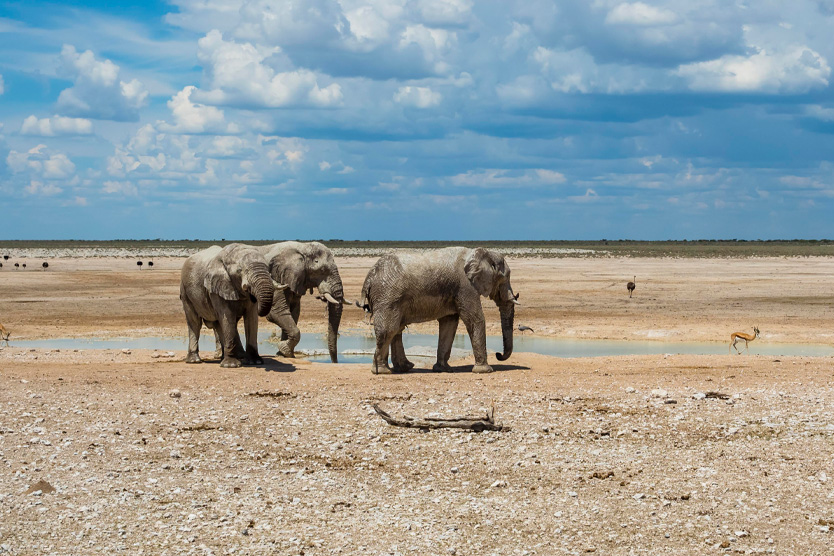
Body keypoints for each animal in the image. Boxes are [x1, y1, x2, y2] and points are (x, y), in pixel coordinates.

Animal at [354, 247, 516, 374]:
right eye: (504, 278)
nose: (498, 354)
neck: (482, 253)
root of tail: (369, 277)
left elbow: (449, 324)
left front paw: (443, 369)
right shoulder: (465, 286)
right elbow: (475, 319)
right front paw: (484, 371)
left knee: (396, 329)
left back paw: (404, 368)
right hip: (387, 295)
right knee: (389, 329)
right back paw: (382, 371)